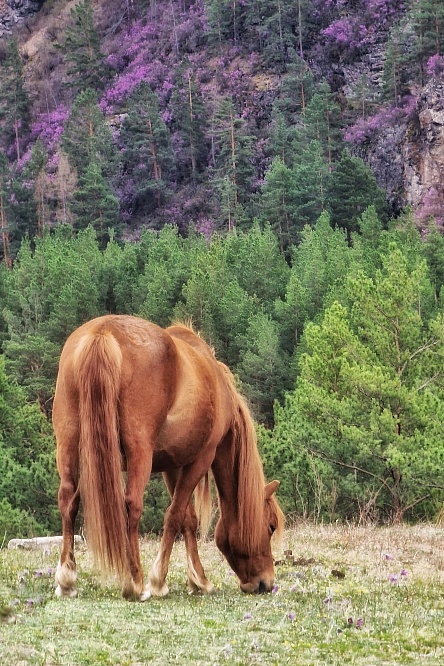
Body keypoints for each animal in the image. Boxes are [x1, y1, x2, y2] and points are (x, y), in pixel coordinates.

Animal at [53, 314, 284, 600]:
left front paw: (197, 580)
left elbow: (187, 519)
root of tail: (102, 332)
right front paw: (160, 580)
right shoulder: (201, 458)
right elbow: (174, 516)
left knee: (68, 500)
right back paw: (135, 582)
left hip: (68, 442)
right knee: (131, 505)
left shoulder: (172, 465)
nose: (266, 583)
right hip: (139, 452)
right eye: (271, 526)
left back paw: (67, 579)